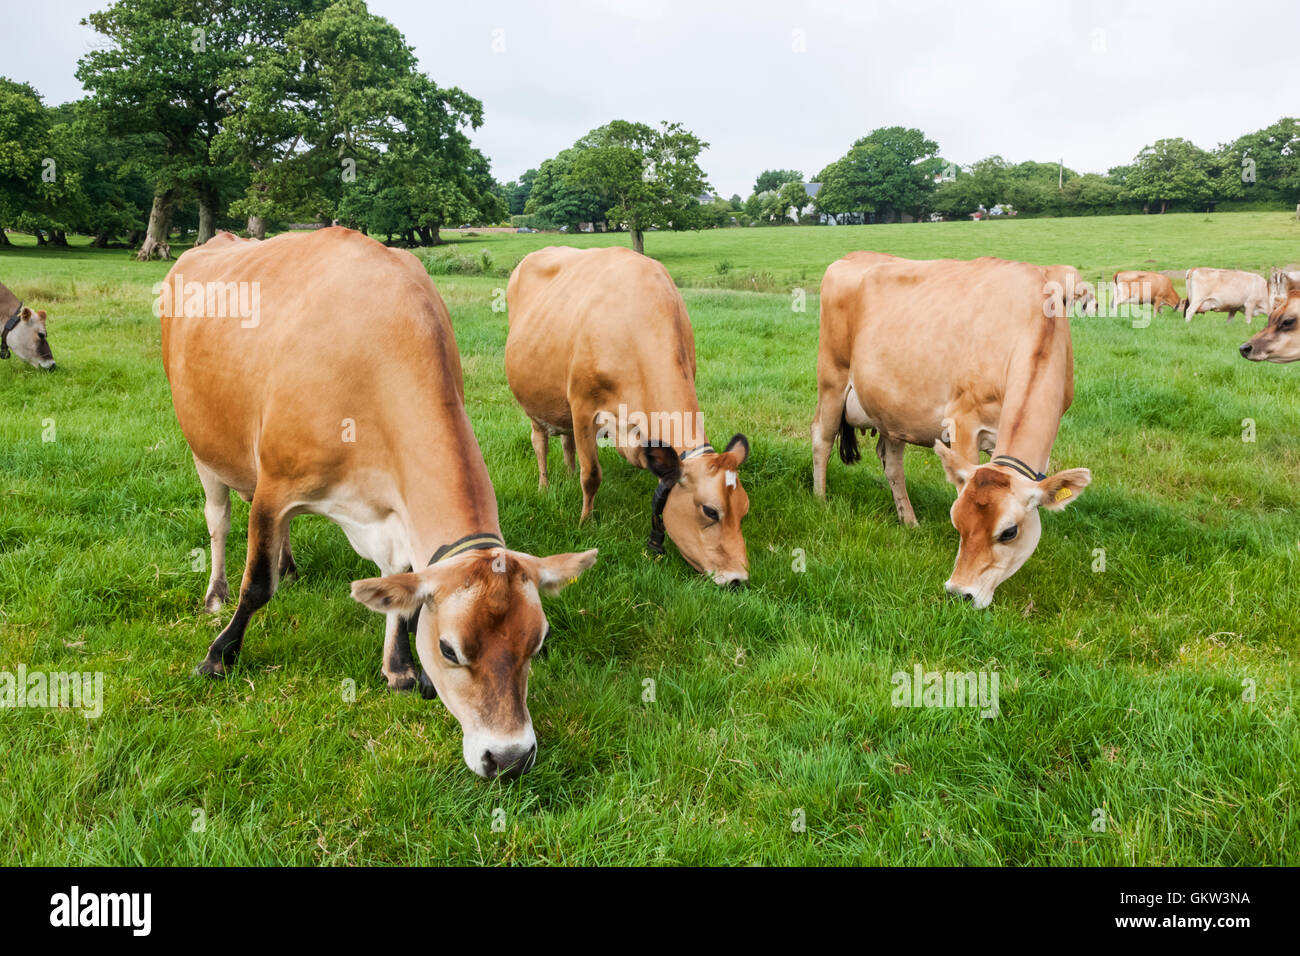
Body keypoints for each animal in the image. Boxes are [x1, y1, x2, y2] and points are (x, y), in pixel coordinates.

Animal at [160, 228, 597, 779]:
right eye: (450, 649)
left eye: (539, 642)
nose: (511, 758)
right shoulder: (275, 487)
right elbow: (256, 585)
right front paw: (219, 656)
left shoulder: (394, 511)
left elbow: (398, 585)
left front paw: (401, 667)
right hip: (204, 448)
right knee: (218, 522)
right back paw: (216, 593)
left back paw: (290, 565)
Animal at [505, 246, 751, 587]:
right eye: (710, 511)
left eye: (744, 509)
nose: (738, 579)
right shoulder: (582, 406)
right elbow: (591, 475)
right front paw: (585, 522)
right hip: (534, 402)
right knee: (540, 441)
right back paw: (545, 486)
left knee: (567, 441)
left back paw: (566, 475)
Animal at [812, 253, 1091, 609]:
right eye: (956, 520)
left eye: (1009, 532)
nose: (960, 593)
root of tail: (851, 256)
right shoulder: (964, 421)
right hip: (832, 377)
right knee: (821, 437)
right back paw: (820, 499)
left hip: (892, 407)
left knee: (891, 462)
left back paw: (909, 521)